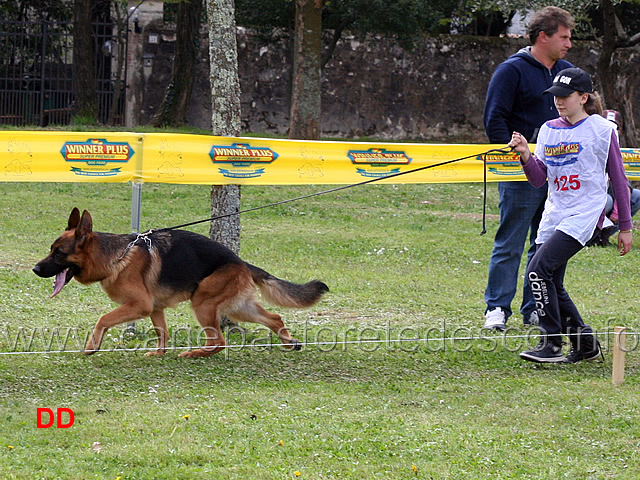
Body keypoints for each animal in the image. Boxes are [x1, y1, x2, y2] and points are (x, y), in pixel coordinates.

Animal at [31, 208, 328, 358]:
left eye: (59, 253)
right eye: (50, 250)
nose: (35, 269)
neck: (116, 256)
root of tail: (241, 262)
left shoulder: (140, 305)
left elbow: (103, 319)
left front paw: (92, 348)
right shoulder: (154, 308)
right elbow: (162, 332)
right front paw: (159, 354)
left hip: (203, 303)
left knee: (220, 341)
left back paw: (194, 354)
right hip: (239, 307)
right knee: (274, 317)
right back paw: (289, 343)